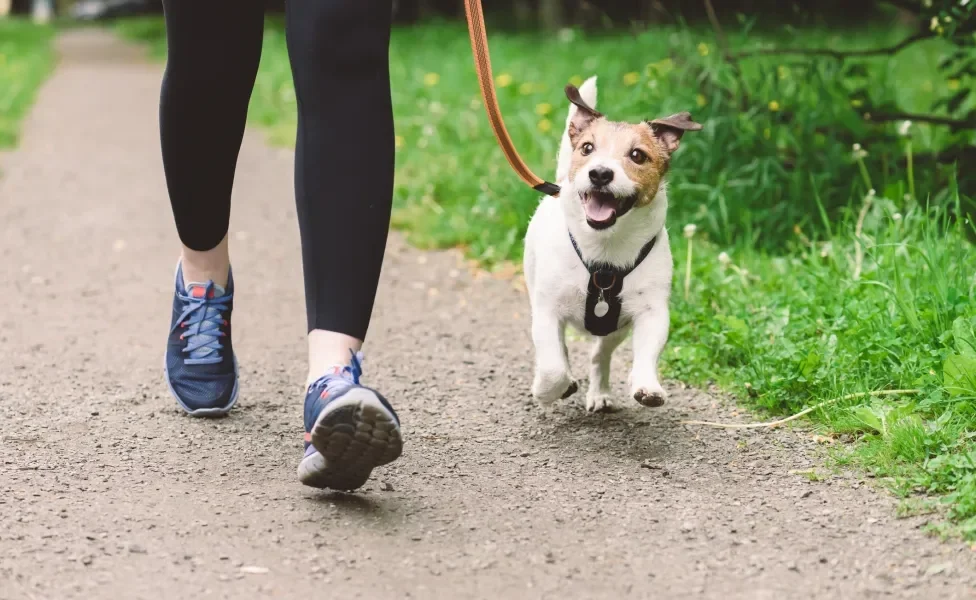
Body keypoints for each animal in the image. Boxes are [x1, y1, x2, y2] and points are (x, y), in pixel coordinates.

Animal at [528, 76, 700, 412]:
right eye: (587, 148)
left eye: (637, 155)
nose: (600, 173)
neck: (605, 252)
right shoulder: (546, 310)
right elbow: (553, 366)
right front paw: (547, 390)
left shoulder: (651, 312)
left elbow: (647, 352)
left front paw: (647, 386)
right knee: (561, 351)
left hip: (614, 329)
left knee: (600, 355)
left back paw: (600, 393)